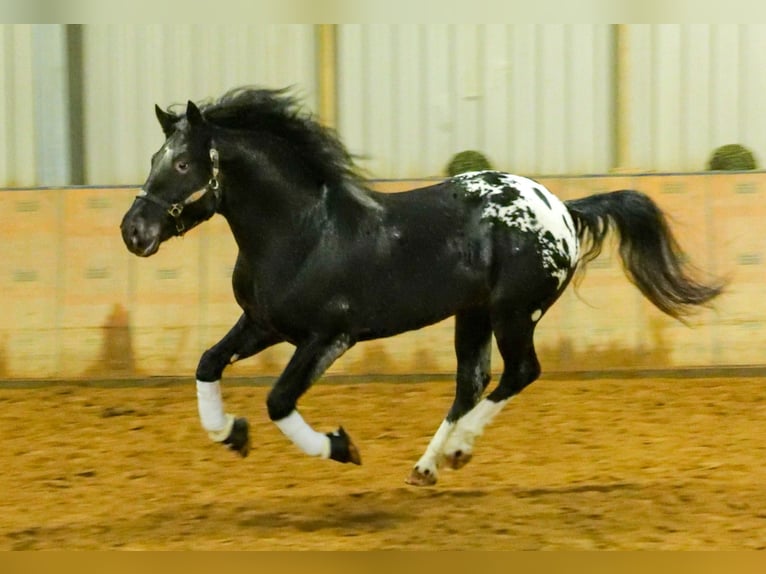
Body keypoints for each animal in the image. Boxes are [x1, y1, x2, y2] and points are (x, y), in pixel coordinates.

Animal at [120, 88, 728, 488]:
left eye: (181, 163)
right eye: (152, 158)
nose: (133, 232)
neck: (302, 230)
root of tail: (562, 209)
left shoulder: (329, 337)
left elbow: (278, 400)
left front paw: (340, 447)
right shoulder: (264, 324)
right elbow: (207, 362)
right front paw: (231, 434)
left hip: (514, 312)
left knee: (520, 373)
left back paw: (455, 452)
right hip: (473, 314)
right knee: (472, 383)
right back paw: (427, 466)